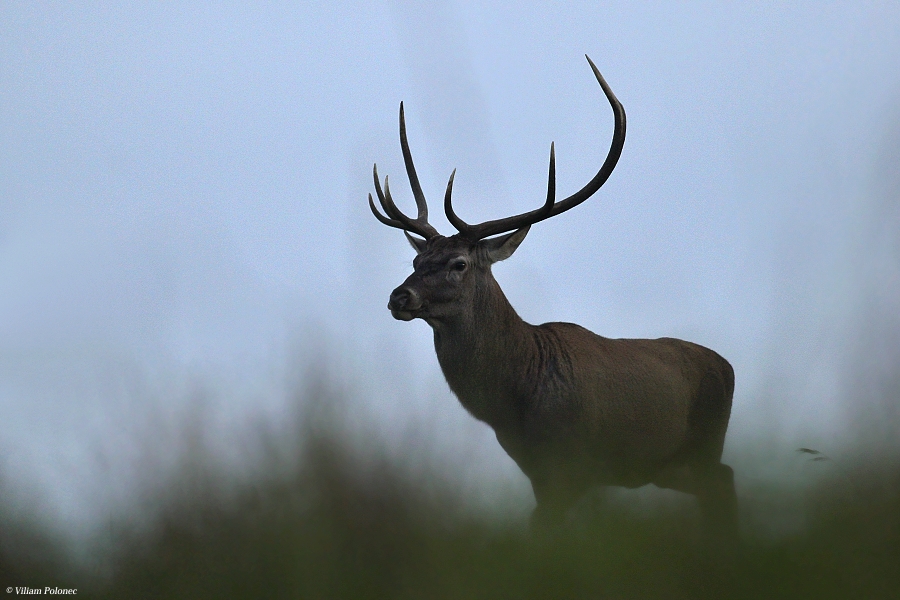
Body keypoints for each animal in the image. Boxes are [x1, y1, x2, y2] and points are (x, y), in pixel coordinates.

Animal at [370, 54, 736, 536]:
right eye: (416, 260)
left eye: (459, 264)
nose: (399, 297)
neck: (516, 396)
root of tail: (729, 368)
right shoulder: (538, 472)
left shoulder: (572, 463)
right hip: (669, 465)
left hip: (703, 444)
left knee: (723, 483)